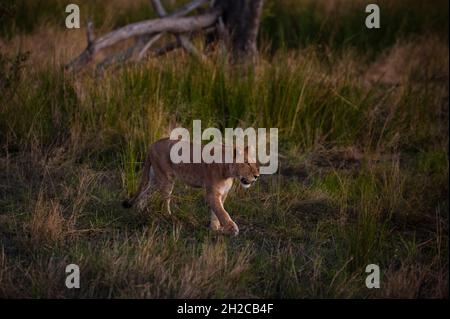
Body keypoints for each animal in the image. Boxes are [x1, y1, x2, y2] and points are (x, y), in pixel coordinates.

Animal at [122, 138, 260, 238]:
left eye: (253, 163)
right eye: (247, 163)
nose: (257, 176)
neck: (228, 172)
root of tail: (152, 145)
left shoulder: (223, 193)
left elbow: (216, 212)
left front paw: (215, 228)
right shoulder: (212, 193)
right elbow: (222, 212)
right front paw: (232, 228)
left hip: (155, 178)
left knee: (145, 192)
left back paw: (139, 210)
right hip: (166, 179)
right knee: (165, 200)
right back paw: (170, 217)